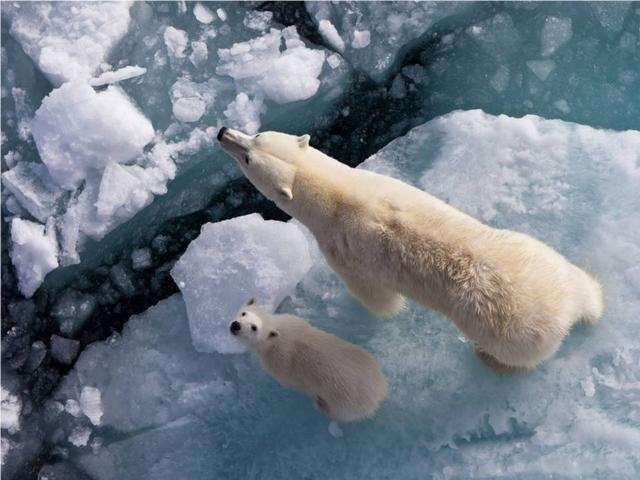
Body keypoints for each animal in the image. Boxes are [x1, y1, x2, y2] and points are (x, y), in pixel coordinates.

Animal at [218, 125, 604, 370]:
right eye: (257, 136)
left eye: (249, 155)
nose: (223, 132)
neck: (339, 195)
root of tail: (564, 310)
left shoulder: (343, 249)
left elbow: (376, 297)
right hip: (538, 253)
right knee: (581, 282)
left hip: (509, 330)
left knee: (514, 355)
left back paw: (486, 357)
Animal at [232, 298, 388, 426]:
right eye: (244, 313)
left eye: (254, 327)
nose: (236, 325)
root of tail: (380, 392)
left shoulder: (278, 362)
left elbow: (286, 380)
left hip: (345, 402)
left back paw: (320, 404)